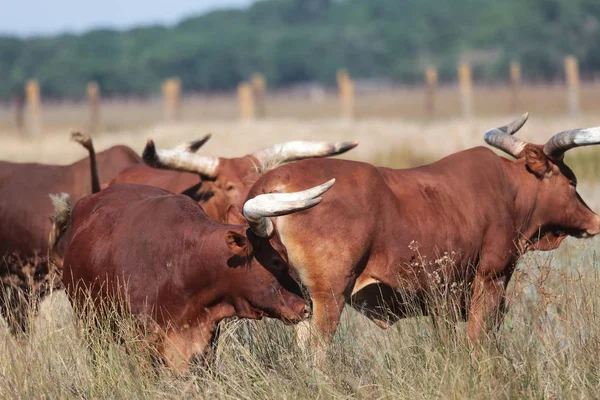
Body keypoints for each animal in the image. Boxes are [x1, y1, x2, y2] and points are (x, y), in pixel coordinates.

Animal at [241, 113, 600, 354]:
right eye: (571, 181)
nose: (594, 220)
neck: (510, 190)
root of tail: (272, 182)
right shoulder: (490, 278)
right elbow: (477, 338)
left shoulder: (444, 298)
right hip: (329, 296)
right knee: (316, 348)